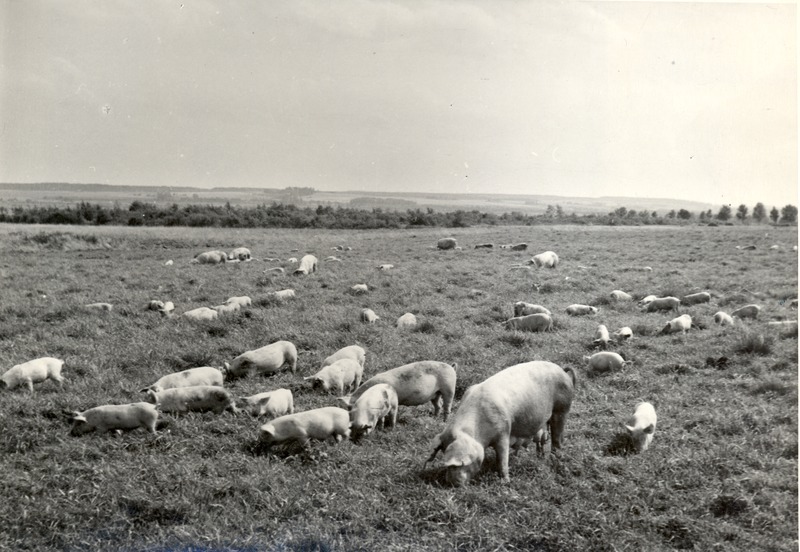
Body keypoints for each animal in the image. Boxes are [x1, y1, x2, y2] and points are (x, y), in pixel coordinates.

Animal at [428, 362, 580, 488]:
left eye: (459, 464)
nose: (450, 483)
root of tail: (562, 370)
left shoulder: (504, 431)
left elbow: (502, 458)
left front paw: (505, 482)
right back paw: (540, 457)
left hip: (562, 408)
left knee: (557, 437)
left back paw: (555, 459)